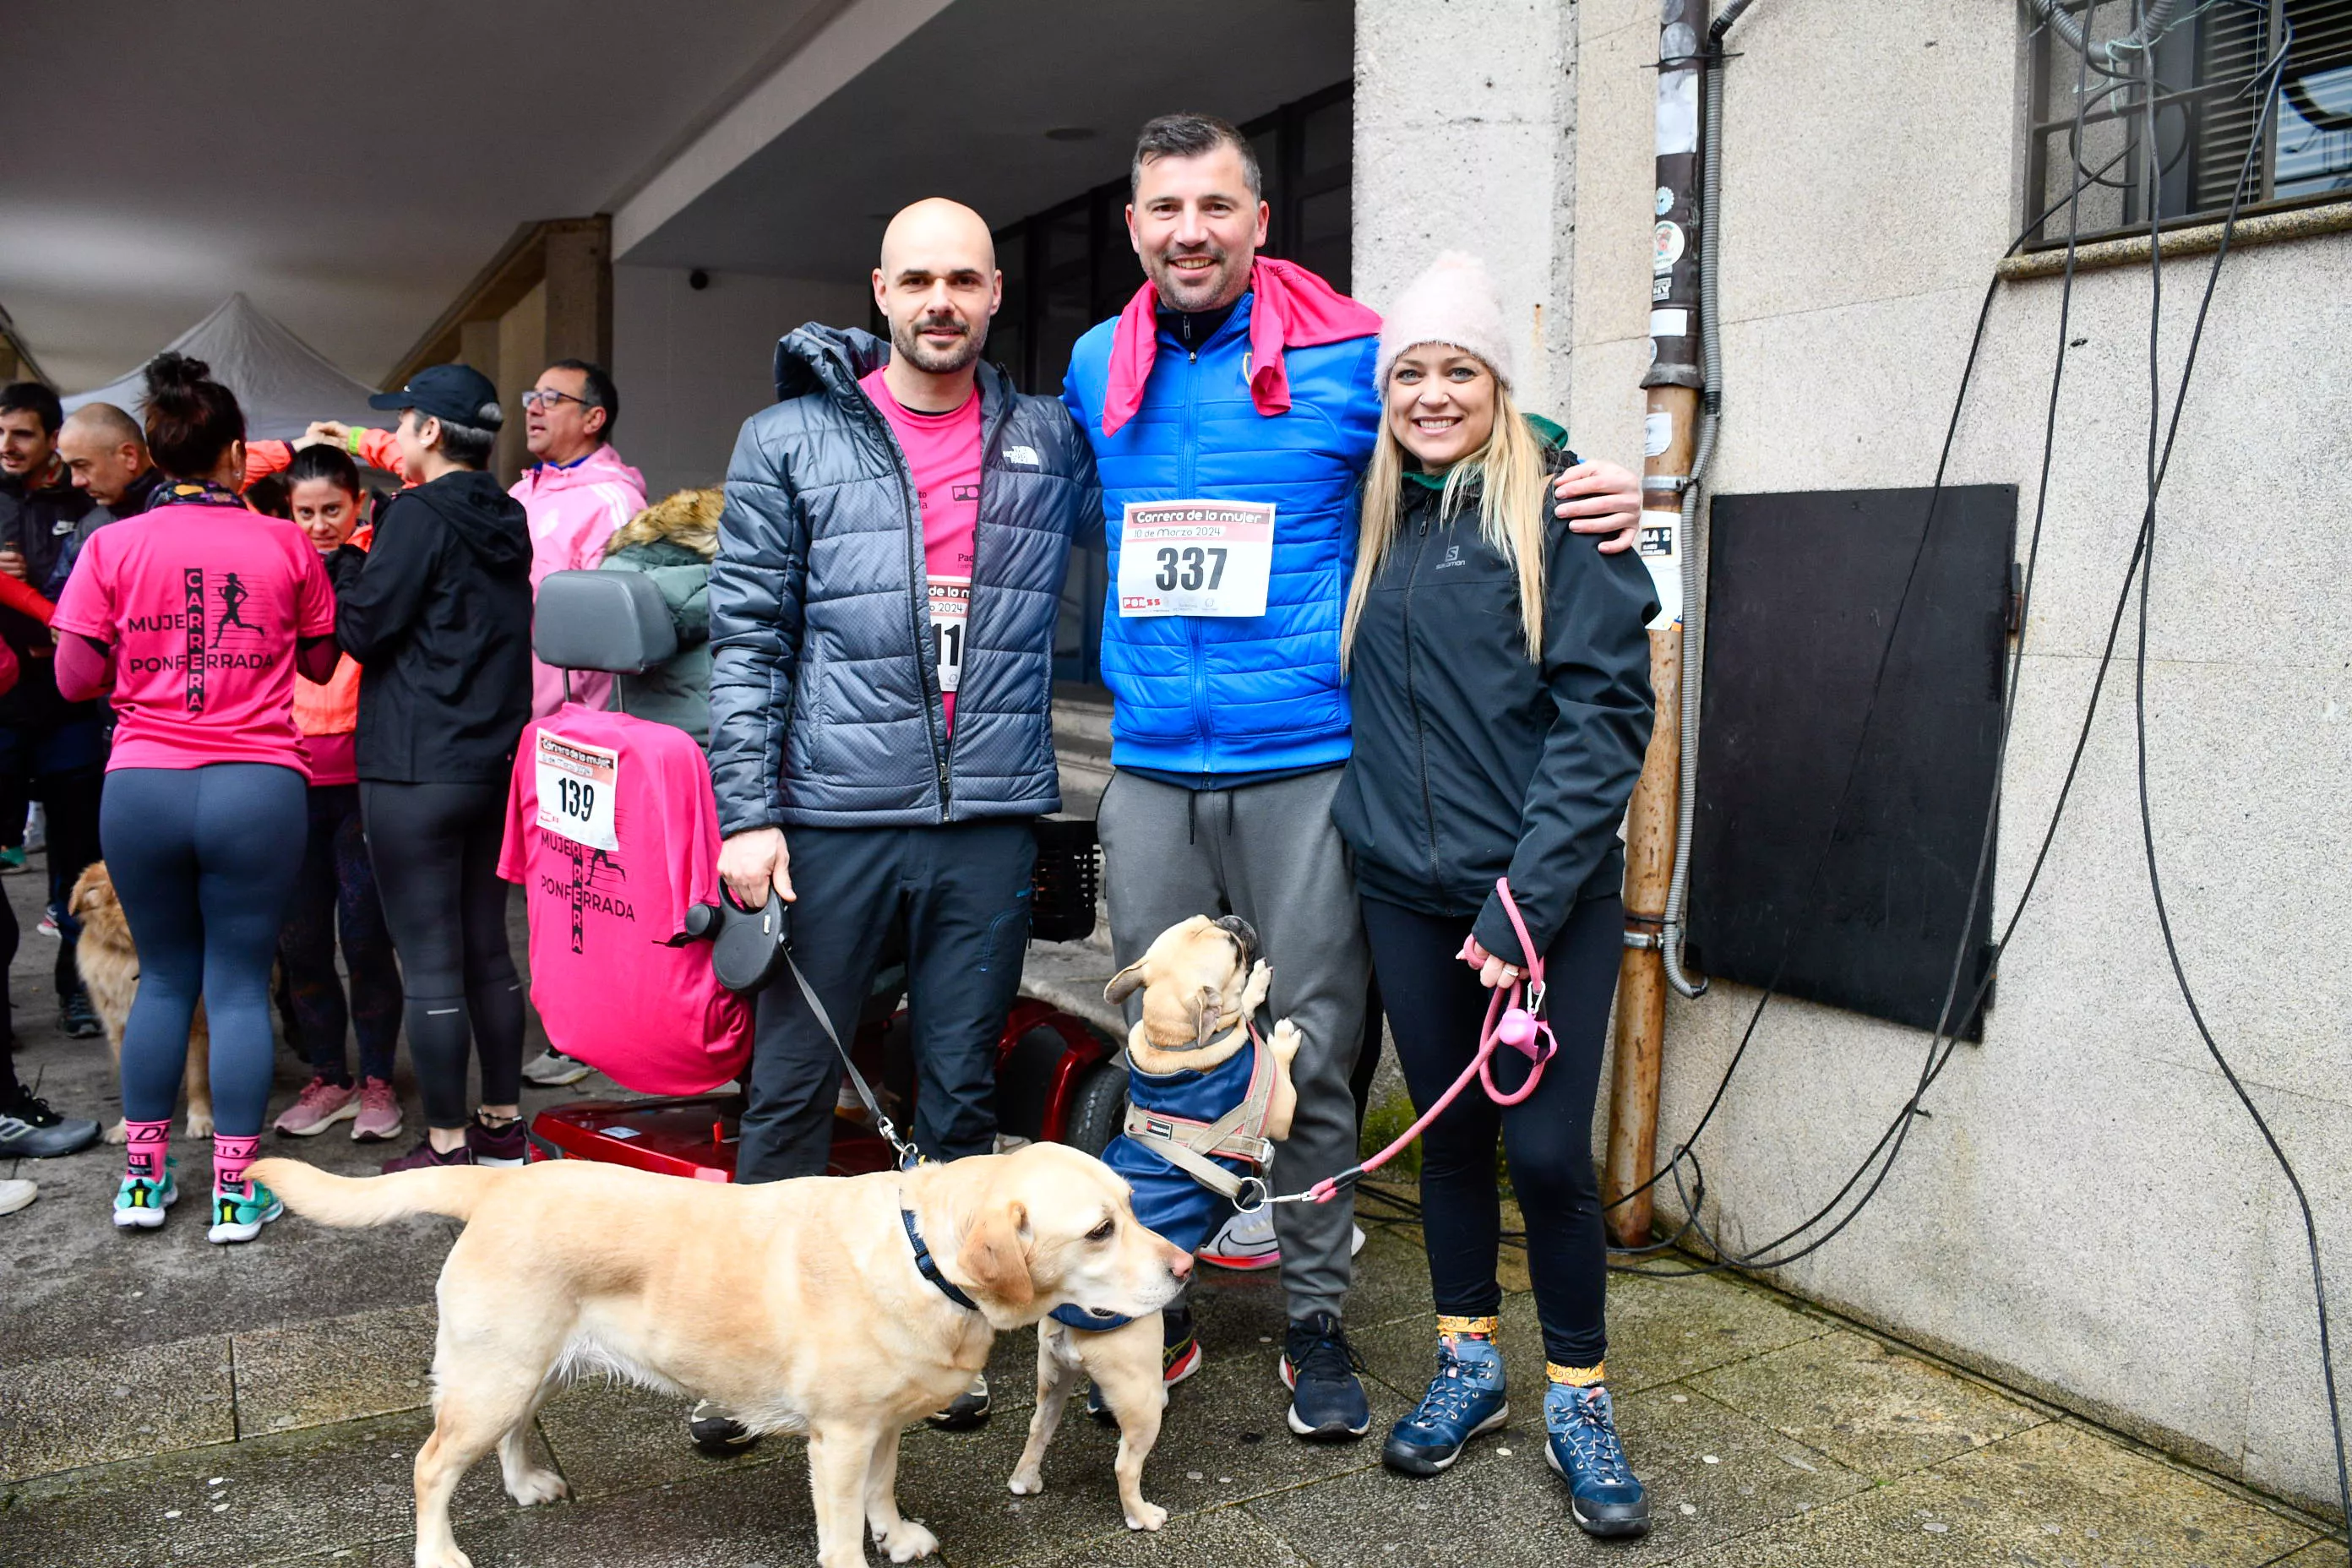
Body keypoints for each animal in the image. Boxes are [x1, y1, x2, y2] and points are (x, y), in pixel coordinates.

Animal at [253, 1142, 1195, 1568]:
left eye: (1132, 1202)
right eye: (1100, 1229)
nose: (1186, 1267)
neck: (926, 1256)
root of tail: (501, 1176)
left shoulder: (883, 1426)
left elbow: (884, 1490)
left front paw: (896, 1535)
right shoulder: (839, 1439)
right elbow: (840, 1522)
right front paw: (858, 1553)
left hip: (527, 1367)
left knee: (514, 1431)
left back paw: (525, 1484)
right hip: (494, 1373)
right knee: (431, 1465)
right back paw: (441, 1552)